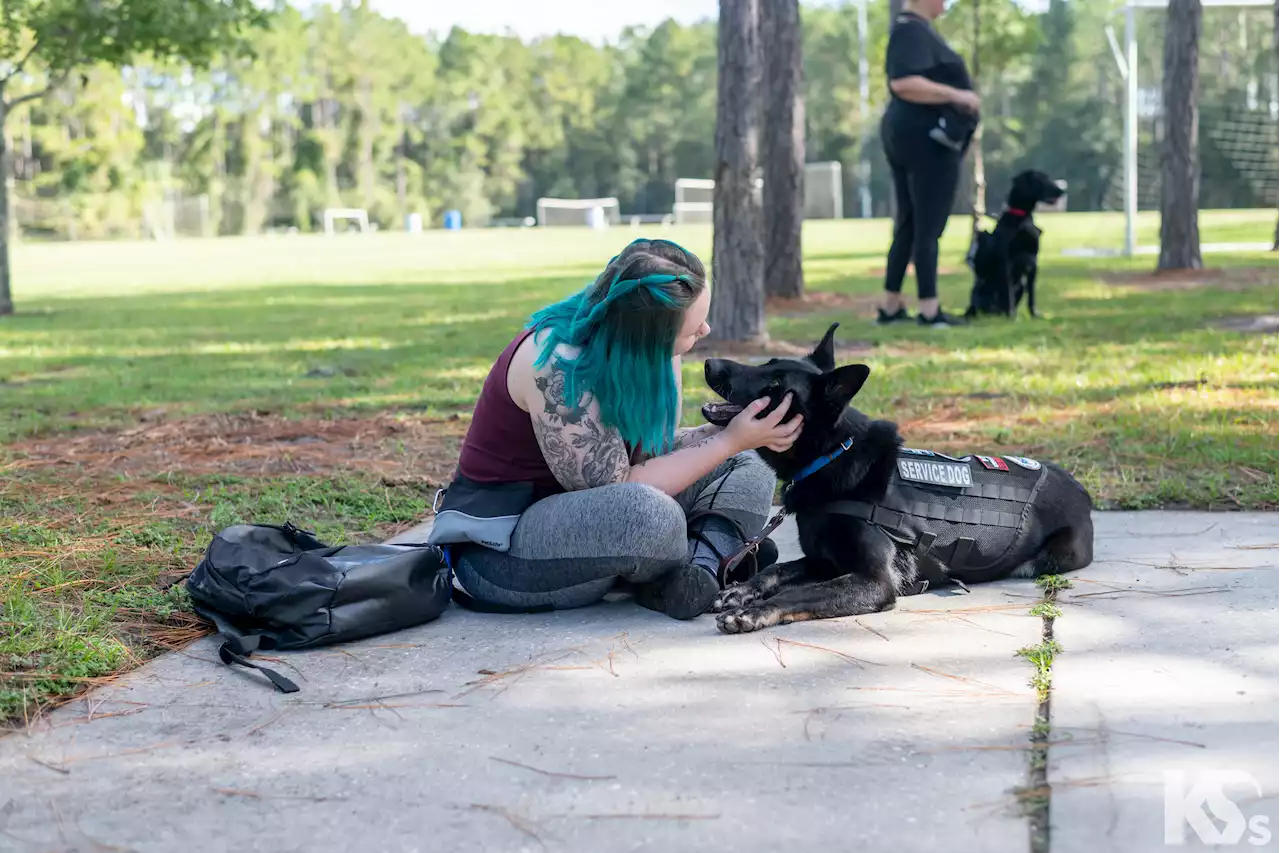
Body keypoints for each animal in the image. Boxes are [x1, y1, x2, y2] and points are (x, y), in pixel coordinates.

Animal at [962, 169, 1064, 318]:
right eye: (1041, 180)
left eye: (1047, 178)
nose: (1062, 191)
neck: (1021, 216)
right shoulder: (1007, 261)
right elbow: (1007, 292)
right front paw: (1013, 316)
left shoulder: (1033, 261)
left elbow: (1031, 294)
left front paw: (1034, 314)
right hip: (981, 284)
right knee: (981, 305)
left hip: (1021, 284)